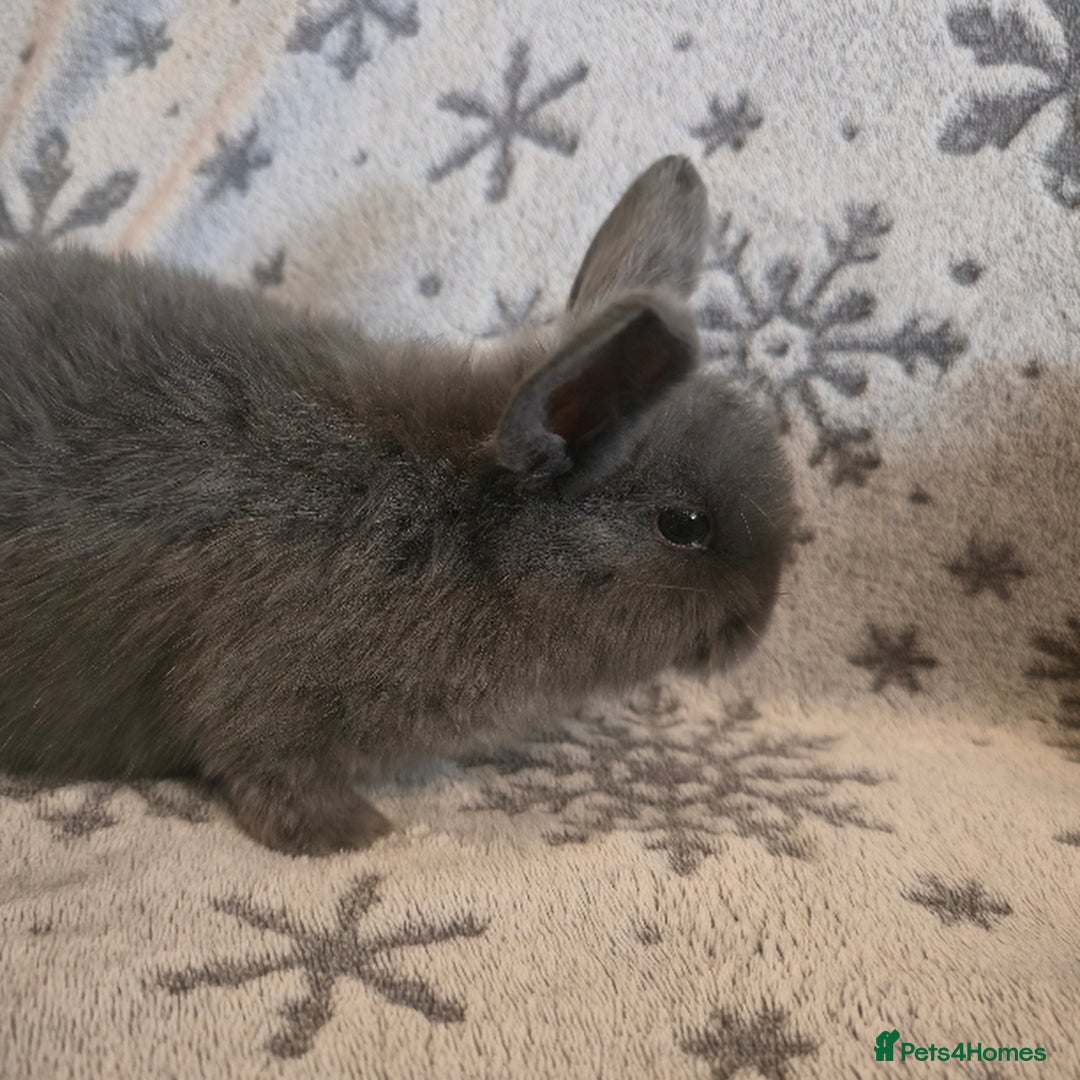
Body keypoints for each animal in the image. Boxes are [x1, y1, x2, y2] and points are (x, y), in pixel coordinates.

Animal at [0, 155, 794, 856]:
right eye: (685, 526)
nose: (757, 629)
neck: (465, 528)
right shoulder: (263, 697)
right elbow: (264, 767)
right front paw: (354, 834)